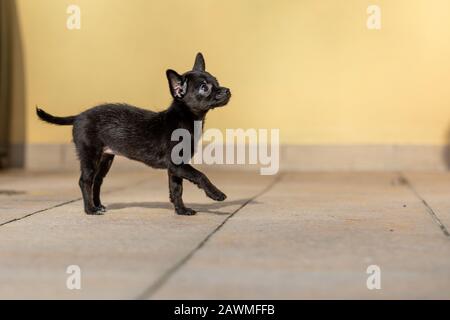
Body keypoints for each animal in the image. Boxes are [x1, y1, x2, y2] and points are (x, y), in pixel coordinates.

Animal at [36, 53, 230, 216]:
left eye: (217, 81)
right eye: (204, 88)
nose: (227, 90)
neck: (187, 119)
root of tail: (78, 116)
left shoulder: (175, 169)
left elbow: (176, 190)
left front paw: (181, 210)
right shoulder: (177, 165)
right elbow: (199, 175)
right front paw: (216, 194)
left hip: (106, 158)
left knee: (97, 181)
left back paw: (98, 205)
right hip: (90, 155)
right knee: (85, 181)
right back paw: (90, 210)